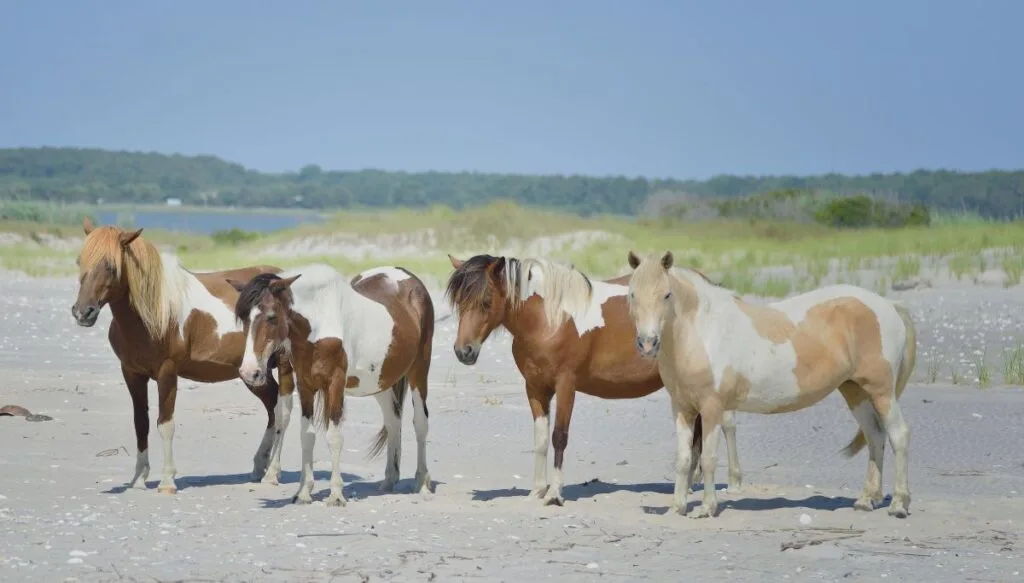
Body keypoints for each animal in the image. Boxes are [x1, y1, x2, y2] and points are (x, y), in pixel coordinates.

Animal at [70, 218, 295, 494]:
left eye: (111, 267)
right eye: (80, 261)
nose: (83, 312)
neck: (154, 312)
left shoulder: (167, 373)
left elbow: (165, 424)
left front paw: (167, 481)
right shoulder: (132, 374)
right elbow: (141, 423)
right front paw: (138, 479)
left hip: (283, 364)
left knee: (283, 412)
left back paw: (272, 472)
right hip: (252, 372)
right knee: (272, 406)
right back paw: (259, 465)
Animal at [229, 263, 435, 506]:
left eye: (271, 317)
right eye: (244, 318)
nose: (249, 372)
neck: (320, 321)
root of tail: (408, 277)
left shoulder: (335, 384)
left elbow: (334, 437)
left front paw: (336, 494)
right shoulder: (305, 385)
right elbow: (307, 435)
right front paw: (303, 492)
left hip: (418, 371)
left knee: (420, 423)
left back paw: (422, 483)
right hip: (381, 380)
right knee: (393, 422)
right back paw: (389, 480)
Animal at [444, 253, 743, 506]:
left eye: (486, 301)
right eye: (458, 301)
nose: (463, 351)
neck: (550, 318)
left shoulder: (566, 384)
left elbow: (559, 437)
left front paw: (554, 494)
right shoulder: (535, 388)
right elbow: (540, 440)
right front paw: (537, 491)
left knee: (725, 425)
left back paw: (733, 484)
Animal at [625, 250, 916, 519]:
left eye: (666, 295)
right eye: (632, 295)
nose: (647, 343)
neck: (702, 332)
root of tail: (889, 305)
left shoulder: (711, 408)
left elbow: (708, 459)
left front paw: (707, 508)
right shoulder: (682, 408)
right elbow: (684, 459)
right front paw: (677, 507)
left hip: (881, 391)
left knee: (899, 435)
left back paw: (899, 504)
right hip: (855, 391)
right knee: (875, 435)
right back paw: (867, 500)